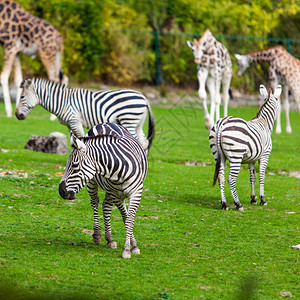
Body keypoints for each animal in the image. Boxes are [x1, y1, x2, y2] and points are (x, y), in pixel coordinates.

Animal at [14, 78, 155, 152]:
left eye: (22, 97)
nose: (16, 115)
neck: (63, 101)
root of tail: (143, 97)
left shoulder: (75, 121)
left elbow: (81, 139)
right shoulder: (69, 124)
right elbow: (74, 141)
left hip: (129, 119)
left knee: (136, 142)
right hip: (138, 123)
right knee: (144, 142)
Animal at [57, 123, 148, 258]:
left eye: (74, 165)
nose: (61, 191)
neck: (119, 168)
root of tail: (104, 123)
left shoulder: (136, 192)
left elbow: (129, 220)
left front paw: (132, 246)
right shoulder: (116, 194)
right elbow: (125, 218)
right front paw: (128, 249)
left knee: (106, 206)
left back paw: (110, 239)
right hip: (93, 182)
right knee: (95, 202)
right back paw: (98, 235)